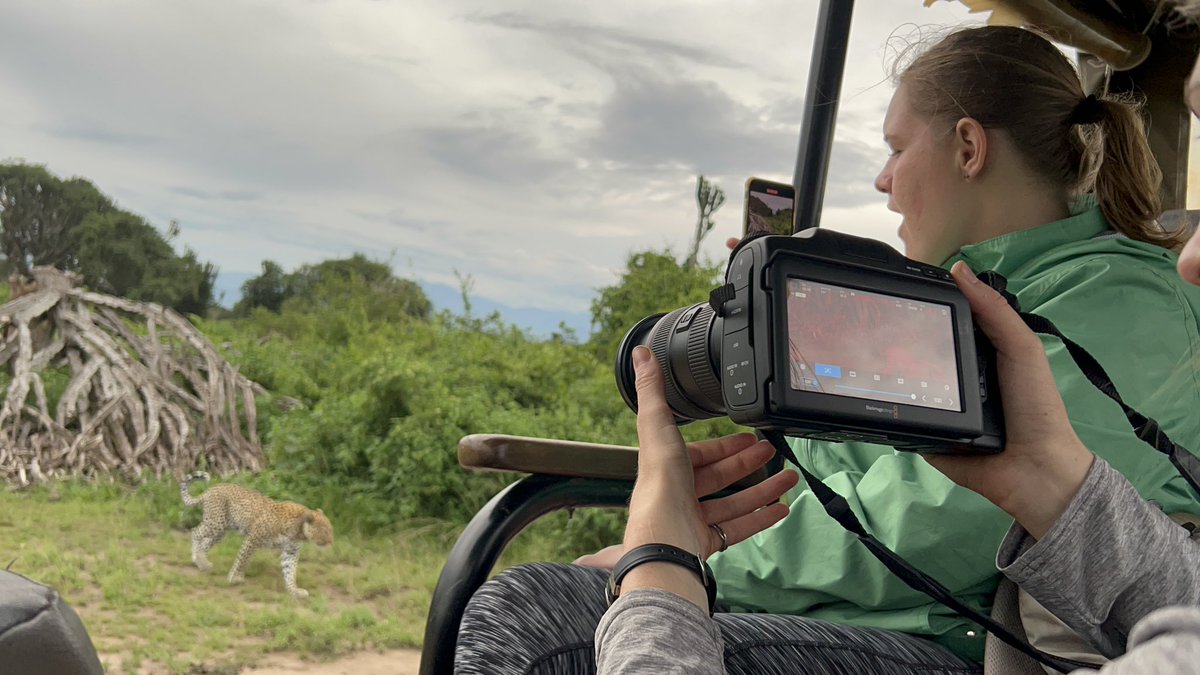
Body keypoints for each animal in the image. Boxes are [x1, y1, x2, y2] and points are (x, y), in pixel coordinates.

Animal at [177, 470, 331, 595]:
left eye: (331, 530)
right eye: (324, 530)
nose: (331, 542)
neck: (300, 532)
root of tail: (211, 489)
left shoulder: (291, 551)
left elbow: (290, 572)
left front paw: (294, 591)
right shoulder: (253, 538)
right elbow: (243, 560)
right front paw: (235, 578)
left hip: (221, 530)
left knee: (205, 542)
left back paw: (200, 561)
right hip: (216, 522)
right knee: (195, 532)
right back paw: (200, 560)